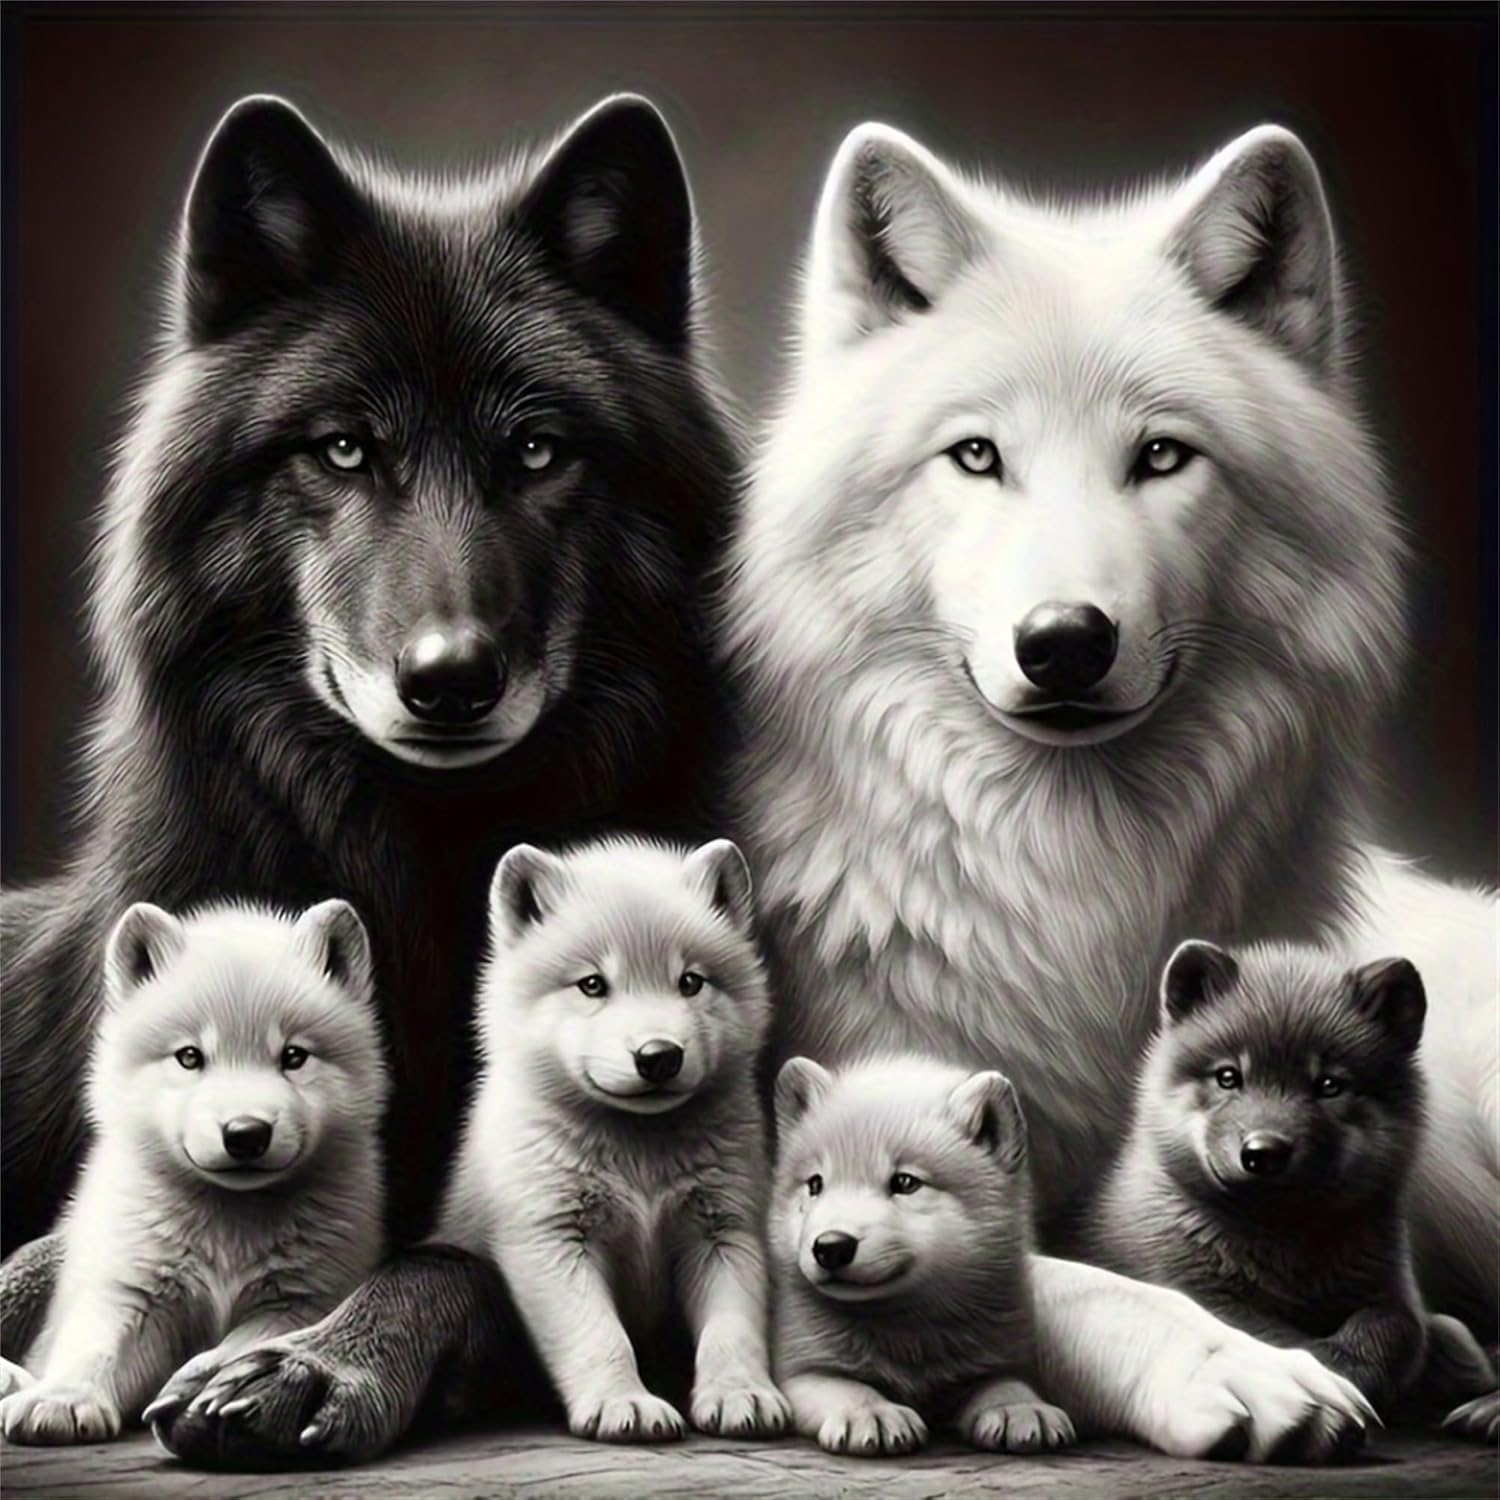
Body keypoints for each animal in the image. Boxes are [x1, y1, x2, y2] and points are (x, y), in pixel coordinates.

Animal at [0, 898, 386, 1444]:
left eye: (293, 1056)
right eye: (189, 1057)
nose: (246, 1133)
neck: (230, 1226)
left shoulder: (302, 1298)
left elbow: (246, 1342)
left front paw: (205, 1383)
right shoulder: (131, 1290)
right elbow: (93, 1345)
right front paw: (60, 1401)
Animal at [770, 1055, 1074, 1457]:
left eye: (905, 1183)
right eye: (816, 1184)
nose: (831, 1246)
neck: (906, 1330)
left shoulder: (994, 1352)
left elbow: (1004, 1381)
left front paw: (1021, 1409)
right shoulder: (798, 1363)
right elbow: (843, 1385)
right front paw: (874, 1414)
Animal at [1085, 939, 1495, 1435]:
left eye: (1329, 1085)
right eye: (1228, 1077)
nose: (1264, 1151)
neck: (1286, 1244)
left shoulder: (1393, 1292)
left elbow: (1389, 1329)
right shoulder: (1189, 1286)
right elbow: (1265, 1333)